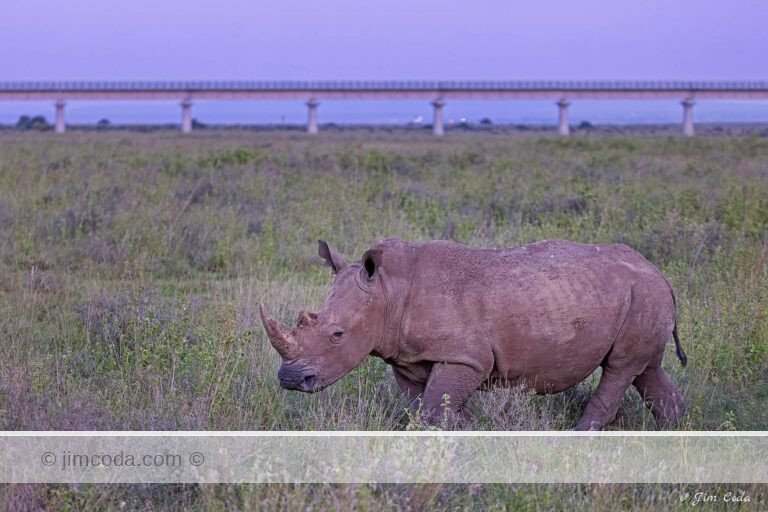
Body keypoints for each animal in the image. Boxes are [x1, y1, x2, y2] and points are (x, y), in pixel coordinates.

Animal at [260, 238, 687, 430]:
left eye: (337, 334)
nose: (290, 380)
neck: (387, 292)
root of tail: (659, 273)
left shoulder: (464, 357)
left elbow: (435, 409)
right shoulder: (409, 358)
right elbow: (429, 408)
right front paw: (477, 428)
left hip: (642, 293)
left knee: (620, 368)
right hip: (638, 295)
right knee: (645, 370)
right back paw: (677, 430)